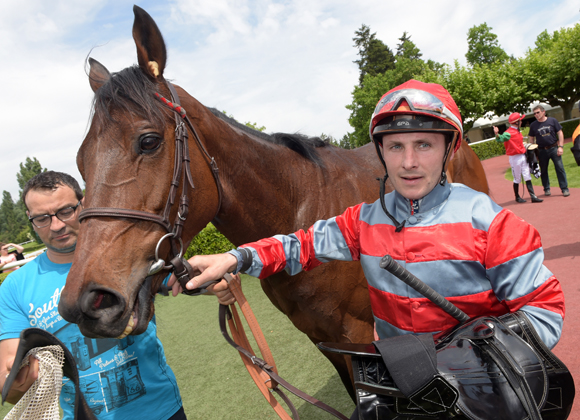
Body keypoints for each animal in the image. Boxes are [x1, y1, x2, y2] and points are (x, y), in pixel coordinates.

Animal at [56, 6, 488, 400]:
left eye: (148, 141)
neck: (299, 210)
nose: (87, 302)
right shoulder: (326, 341)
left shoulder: (360, 337)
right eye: (80, 160)